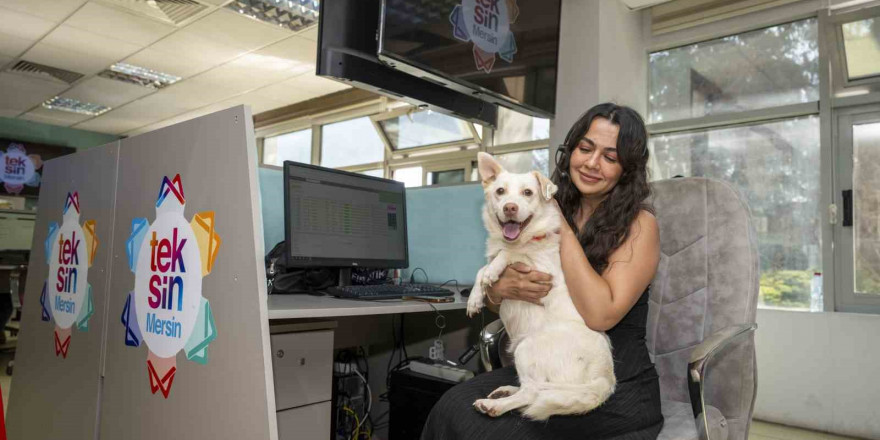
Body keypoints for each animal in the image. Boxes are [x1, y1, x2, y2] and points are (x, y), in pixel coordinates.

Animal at [464, 153, 616, 422]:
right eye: (500, 191)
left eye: (527, 192)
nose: (510, 207)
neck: (523, 239)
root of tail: (604, 379)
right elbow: (482, 270)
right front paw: (475, 297)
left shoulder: (543, 270)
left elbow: (509, 255)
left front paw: (495, 269)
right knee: (533, 388)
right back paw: (506, 391)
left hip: (527, 348)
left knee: (533, 392)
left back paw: (494, 406)